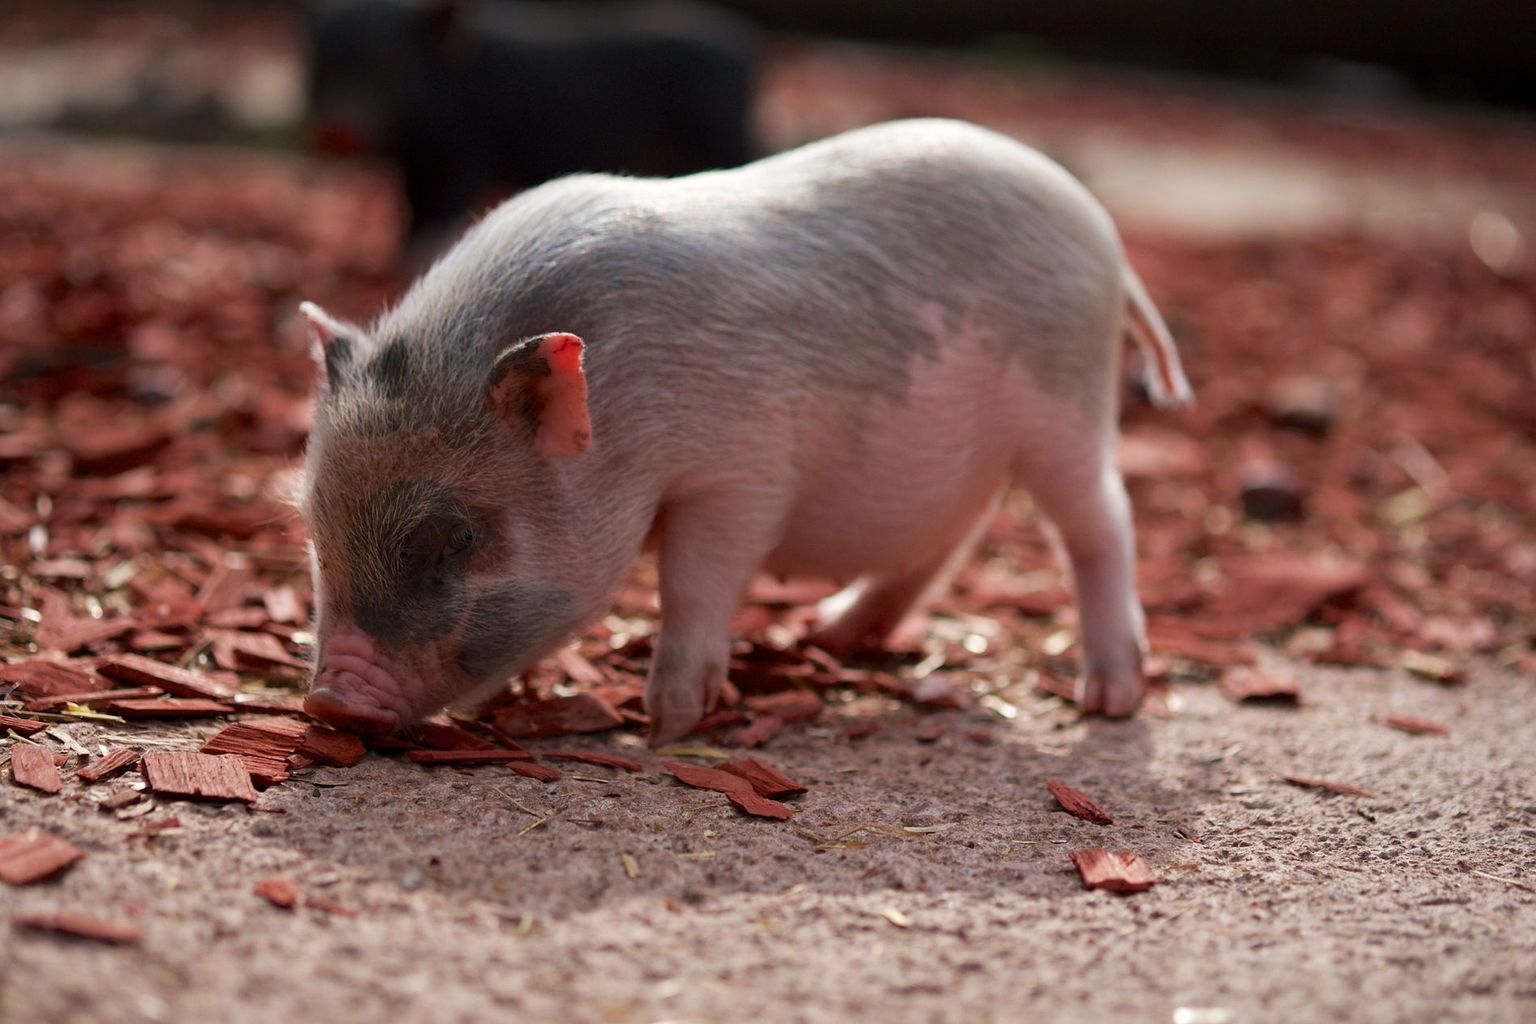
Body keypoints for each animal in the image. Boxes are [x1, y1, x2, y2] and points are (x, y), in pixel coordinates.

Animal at [297, 118, 1193, 744]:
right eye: (314, 529)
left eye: (457, 539)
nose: (331, 700)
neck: (622, 406)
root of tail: (1106, 236)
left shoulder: (739, 472)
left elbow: (696, 580)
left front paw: (667, 724)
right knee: (953, 535)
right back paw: (828, 631)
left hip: (1065, 405)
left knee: (1102, 522)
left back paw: (1110, 699)